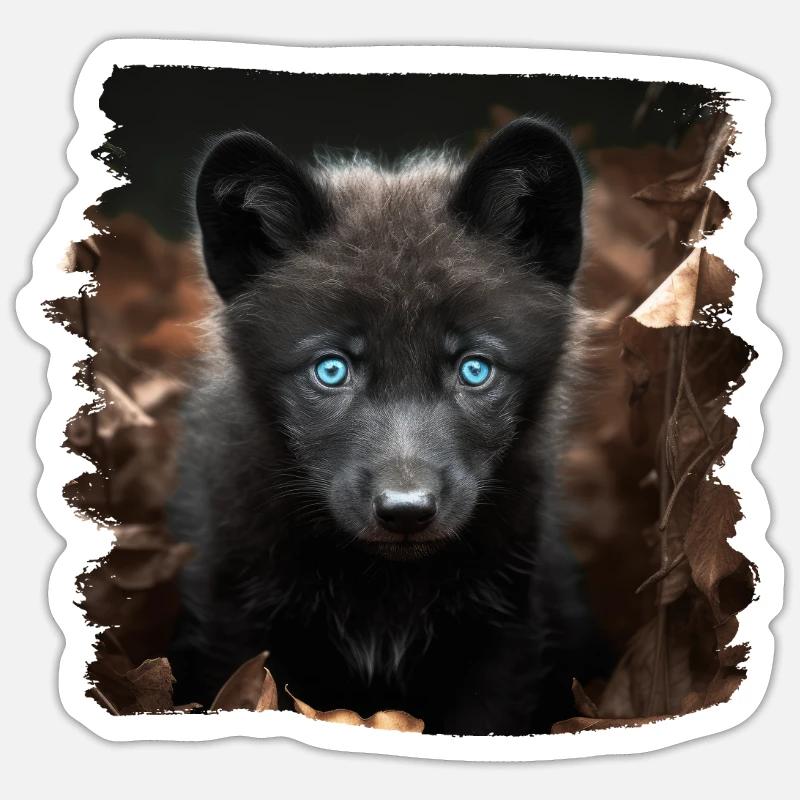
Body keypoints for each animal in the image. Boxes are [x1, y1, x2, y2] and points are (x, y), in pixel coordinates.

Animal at [168, 117, 606, 734]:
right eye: (331, 370)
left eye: (474, 369)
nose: (406, 511)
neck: (384, 593)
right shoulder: (234, 618)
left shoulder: (504, 633)